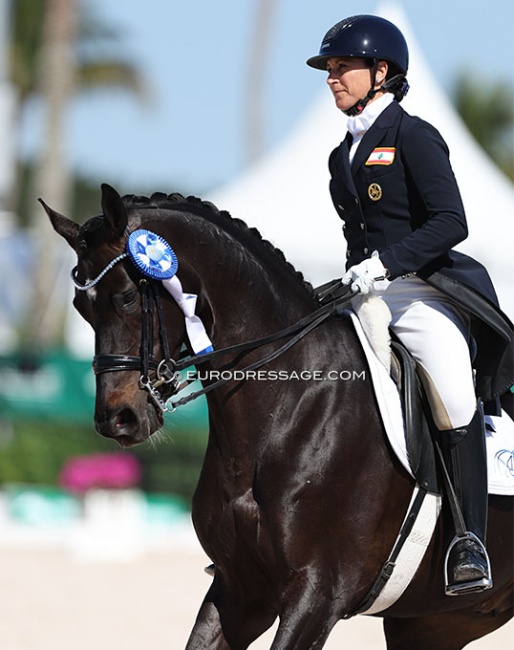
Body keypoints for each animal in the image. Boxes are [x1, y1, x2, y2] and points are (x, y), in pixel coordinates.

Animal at [45, 184, 512, 648]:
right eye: (80, 306)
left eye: (126, 296)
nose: (117, 418)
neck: (286, 410)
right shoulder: (240, 590)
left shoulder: (318, 594)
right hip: (435, 622)